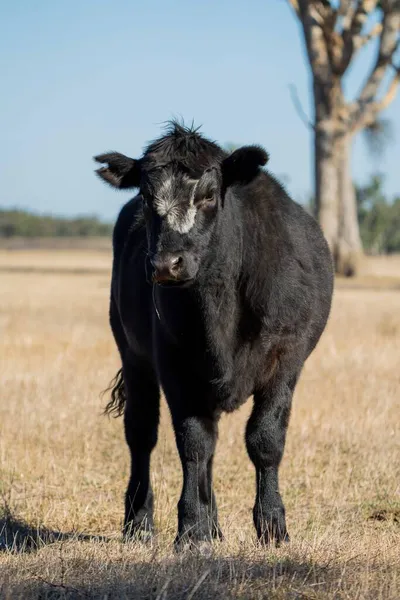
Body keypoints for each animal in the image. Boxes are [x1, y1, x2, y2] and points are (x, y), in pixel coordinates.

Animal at [94, 122, 334, 548]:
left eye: (207, 194)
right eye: (146, 196)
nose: (166, 264)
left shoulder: (286, 360)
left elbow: (265, 440)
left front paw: (272, 526)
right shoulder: (174, 365)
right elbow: (194, 444)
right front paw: (191, 528)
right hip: (133, 355)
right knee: (142, 434)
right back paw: (139, 523)